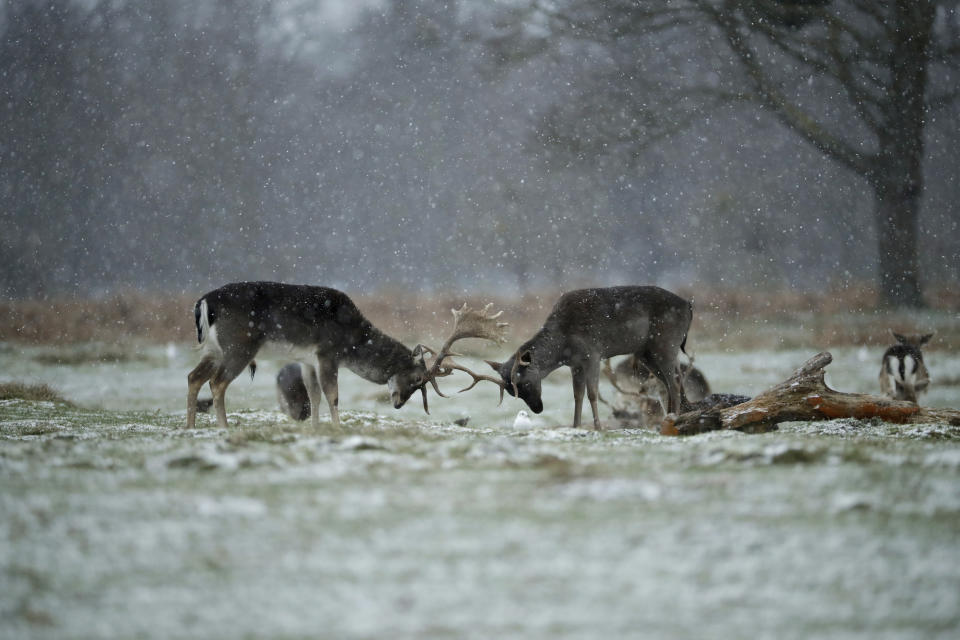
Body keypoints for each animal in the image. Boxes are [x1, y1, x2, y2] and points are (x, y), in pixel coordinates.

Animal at [183, 284, 506, 430]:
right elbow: (332, 394)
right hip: (239, 345)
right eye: (416, 379)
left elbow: (313, 395)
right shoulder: (328, 352)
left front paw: (315, 429)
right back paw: (224, 428)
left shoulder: (307, 359)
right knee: (217, 383)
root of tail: (203, 304)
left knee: (193, 376)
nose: (399, 403)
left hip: (214, 349)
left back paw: (190, 427)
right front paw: (338, 428)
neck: (354, 339)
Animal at [484, 286, 692, 430]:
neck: (563, 345)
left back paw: (674, 417)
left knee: (675, 381)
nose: (537, 409)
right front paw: (575, 426)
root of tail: (689, 307)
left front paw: (598, 427)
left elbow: (592, 393)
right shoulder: (574, 364)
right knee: (669, 381)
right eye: (511, 391)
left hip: (666, 343)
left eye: (525, 382)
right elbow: (578, 395)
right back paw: (670, 415)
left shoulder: (593, 354)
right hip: (647, 353)